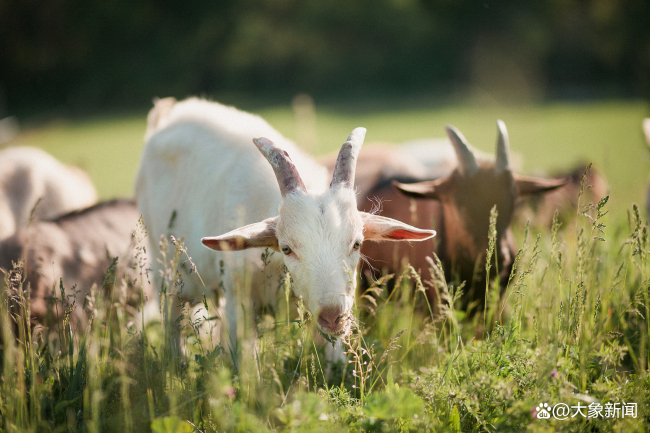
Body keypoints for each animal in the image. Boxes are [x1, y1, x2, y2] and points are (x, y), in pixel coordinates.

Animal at [134, 98, 432, 348]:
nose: (332, 316)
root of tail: (168, 114)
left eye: (357, 243)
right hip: (167, 276)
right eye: (287, 248)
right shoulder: (238, 305)